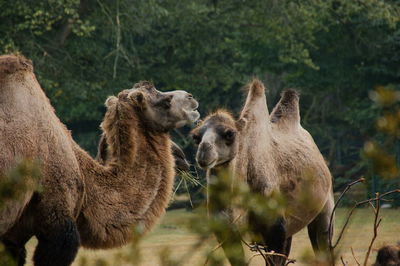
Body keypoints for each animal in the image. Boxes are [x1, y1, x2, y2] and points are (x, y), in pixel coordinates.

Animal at [192, 79, 332, 266]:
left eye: (229, 134)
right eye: (196, 137)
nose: (203, 152)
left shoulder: (275, 230)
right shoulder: (227, 234)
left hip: (325, 208)